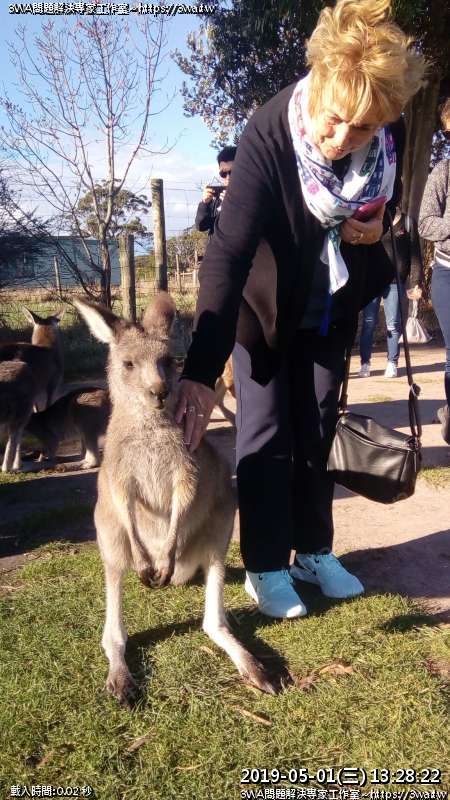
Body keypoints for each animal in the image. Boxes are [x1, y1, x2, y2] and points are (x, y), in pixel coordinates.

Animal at [74, 292, 277, 706]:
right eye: (128, 364)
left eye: (168, 361)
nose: (160, 392)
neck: (150, 424)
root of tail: (184, 572)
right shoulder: (118, 475)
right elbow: (125, 499)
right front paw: (147, 561)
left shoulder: (189, 469)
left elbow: (183, 500)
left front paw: (164, 551)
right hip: (109, 534)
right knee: (114, 629)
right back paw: (122, 680)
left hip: (221, 520)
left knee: (213, 621)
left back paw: (255, 669)